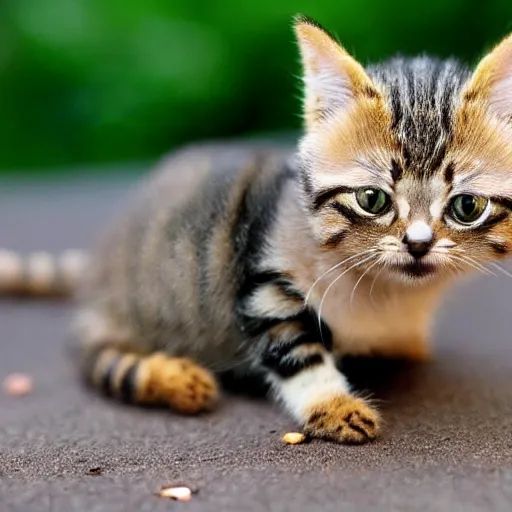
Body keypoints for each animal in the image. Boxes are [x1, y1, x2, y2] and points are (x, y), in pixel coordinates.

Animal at [3, 14, 512, 442]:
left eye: (466, 206)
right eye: (373, 200)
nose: (418, 244)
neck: (389, 295)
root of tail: (98, 268)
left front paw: (401, 344)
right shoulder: (265, 286)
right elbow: (296, 350)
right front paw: (334, 406)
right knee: (105, 363)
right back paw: (174, 379)